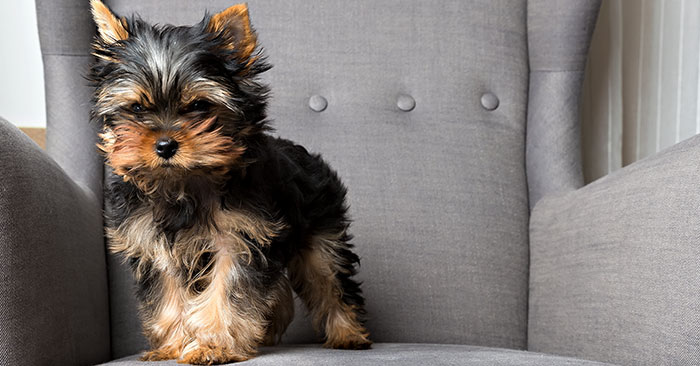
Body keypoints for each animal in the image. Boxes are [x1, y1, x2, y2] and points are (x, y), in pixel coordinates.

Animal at [89, 1, 372, 364]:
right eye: (137, 108)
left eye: (199, 105)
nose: (165, 145)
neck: (184, 183)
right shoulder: (154, 244)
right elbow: (168, 295)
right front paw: (174, 345)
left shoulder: (240, 237)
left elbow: (226, 290)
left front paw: (212, 345)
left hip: (322, 233)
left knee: (330, 279)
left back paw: (348, 334)